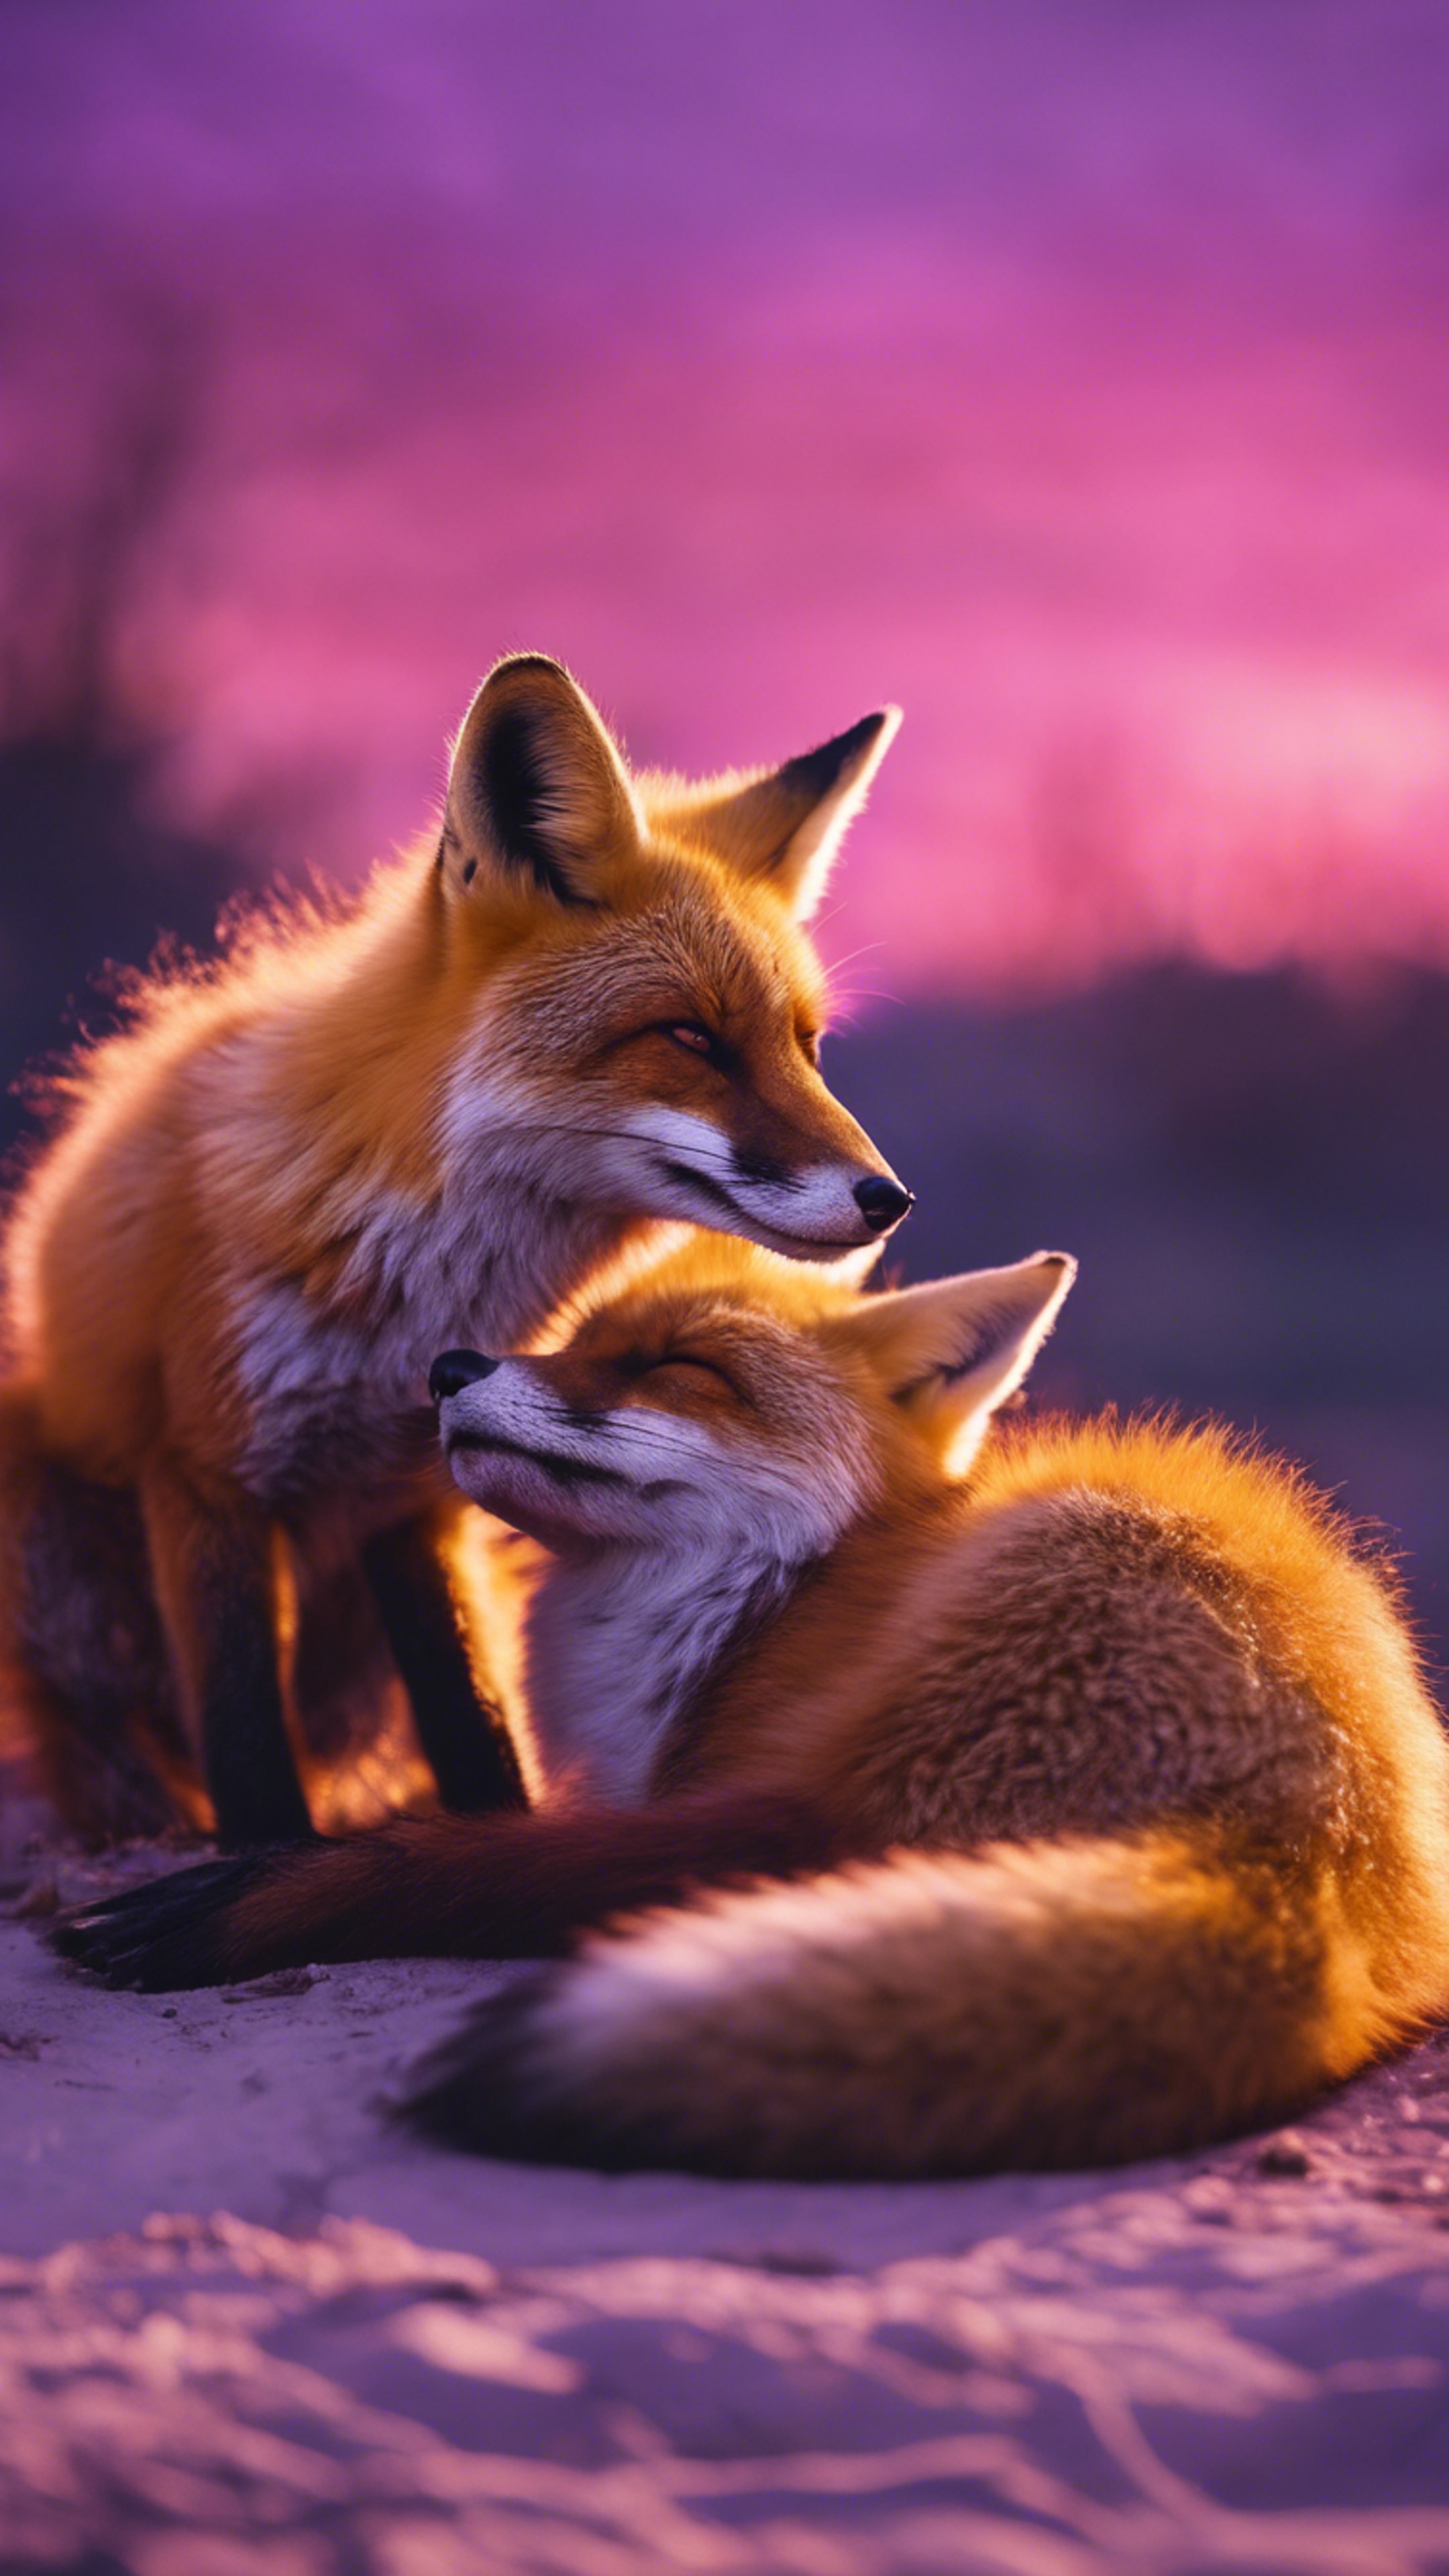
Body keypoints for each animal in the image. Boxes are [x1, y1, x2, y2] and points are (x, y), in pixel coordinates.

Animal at [1, 654, 913, 1849]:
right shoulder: (205, 1475)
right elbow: (247, 1750)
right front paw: (265, 1860)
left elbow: (474, 1723)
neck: (404, 1291)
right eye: (689, 1037)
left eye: (806, 1047)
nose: (889, 1199)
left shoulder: (418, 1495)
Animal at [59, 1235, 1449, 2178]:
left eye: (678, 1367)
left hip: (869, 1761)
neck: (767, 1596)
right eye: (570, 1339)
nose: (449, 1366)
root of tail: (1311, 1839)